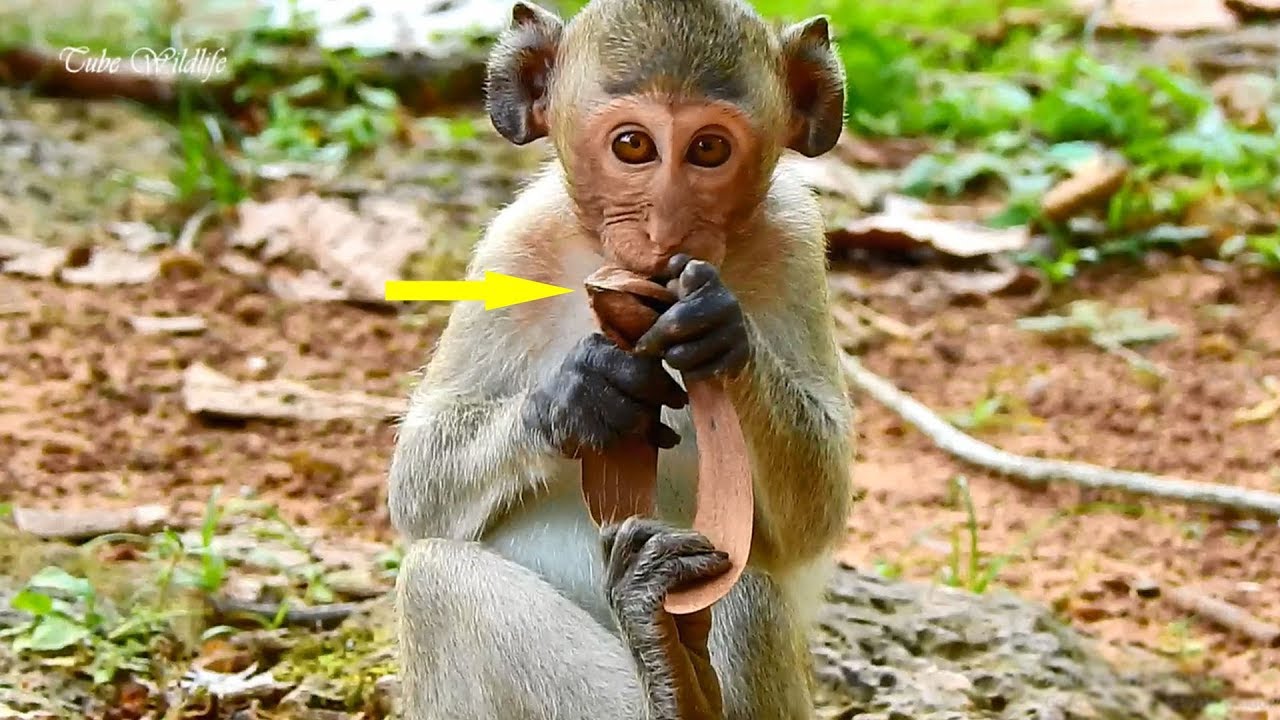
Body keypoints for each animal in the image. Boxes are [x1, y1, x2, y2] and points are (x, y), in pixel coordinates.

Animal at [388, 0, 853, 717]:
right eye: (633, 145)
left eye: (709, 149)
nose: (665, 228)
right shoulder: (514, 243)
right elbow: (414, 489)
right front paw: (582, 394)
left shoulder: (795, 242)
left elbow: (818, 512)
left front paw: (722, 333)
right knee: (436, 581)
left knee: (747, 589)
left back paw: (673, 662)